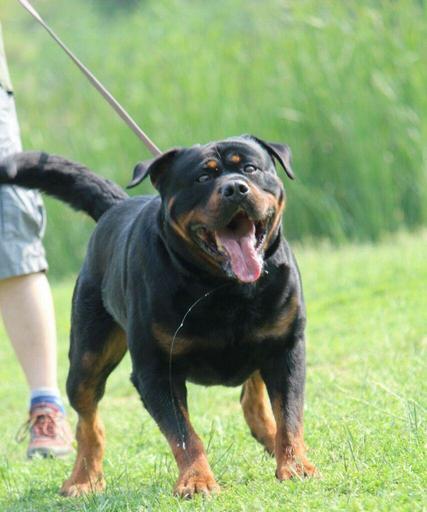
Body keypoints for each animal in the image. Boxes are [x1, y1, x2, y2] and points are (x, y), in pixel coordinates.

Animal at [0, 135, 318, 496]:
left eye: (250, 168)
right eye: (202, 178)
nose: (235, 188)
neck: (222, 288)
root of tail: (116, 206)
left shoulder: (286, 348)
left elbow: (289, 414)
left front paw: (295, 465)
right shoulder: (154, 370)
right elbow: (183, 434)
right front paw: (196, 480)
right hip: (87, 357)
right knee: (88, 421)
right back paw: (83, 479)